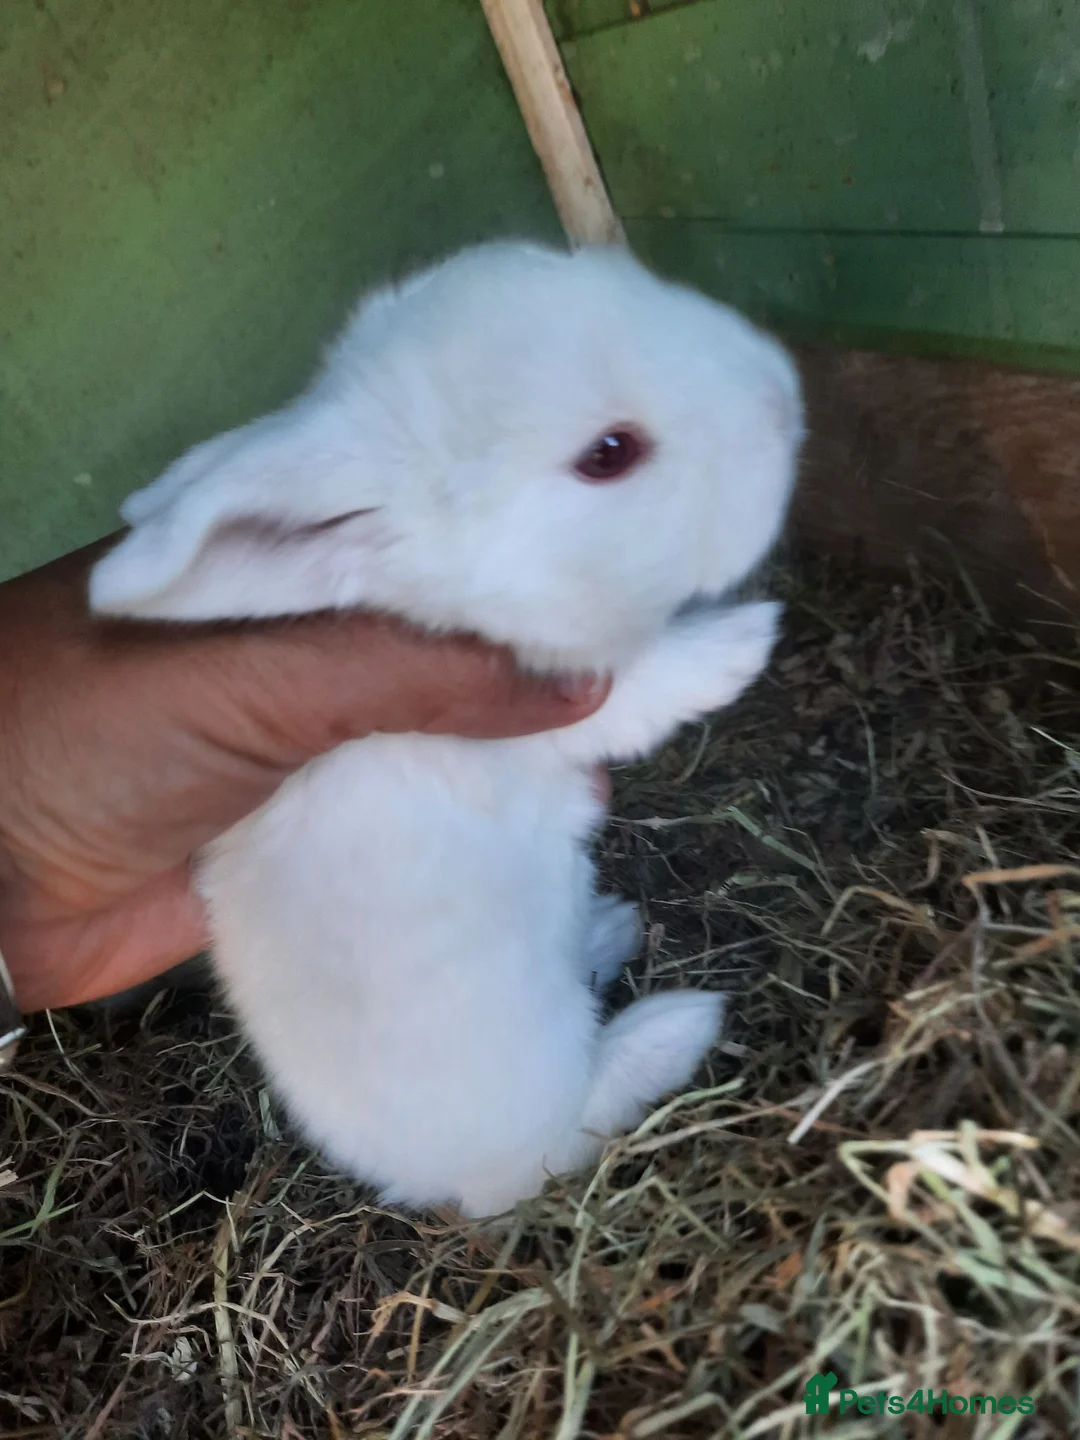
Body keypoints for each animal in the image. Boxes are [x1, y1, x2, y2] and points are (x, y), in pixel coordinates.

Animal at [88, 240, 803, 1217]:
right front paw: (744, 639)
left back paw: (608, 929)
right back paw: (677, 1024)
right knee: (583, 1118)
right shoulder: (558, 714)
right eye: (609, 454)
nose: (785, 398)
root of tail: (442, 1187)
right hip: (550, 1088)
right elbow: (649, 684)